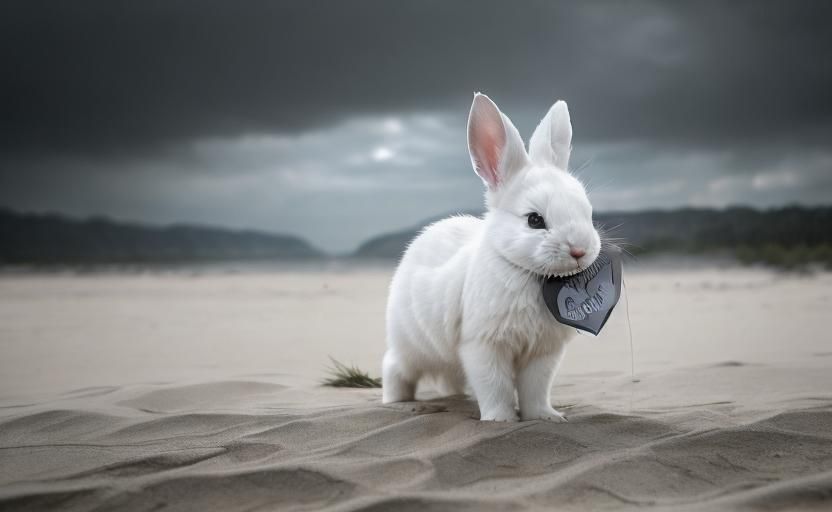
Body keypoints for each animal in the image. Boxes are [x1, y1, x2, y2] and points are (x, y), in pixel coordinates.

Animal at [382, 93, 601, 422]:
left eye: (587, 211)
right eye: (534, 220)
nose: (579, 250)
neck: (528, 273)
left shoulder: (543, 354)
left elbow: (536, 389)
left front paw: (545, 417)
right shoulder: (483, 346)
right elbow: (494, 386)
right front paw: (500, 420)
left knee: (450, 378)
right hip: (411, 346)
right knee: (393, 367)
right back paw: (398, 403)